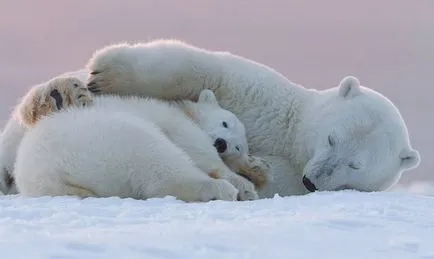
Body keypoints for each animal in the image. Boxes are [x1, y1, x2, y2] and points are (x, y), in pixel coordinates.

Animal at [79, 38, 418, 198]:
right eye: (332, 138)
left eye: (355, 164)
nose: (311, 181)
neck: (294, 142)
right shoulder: (265, 100)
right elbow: (207, 70)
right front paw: (104, 74)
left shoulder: (289, 180)